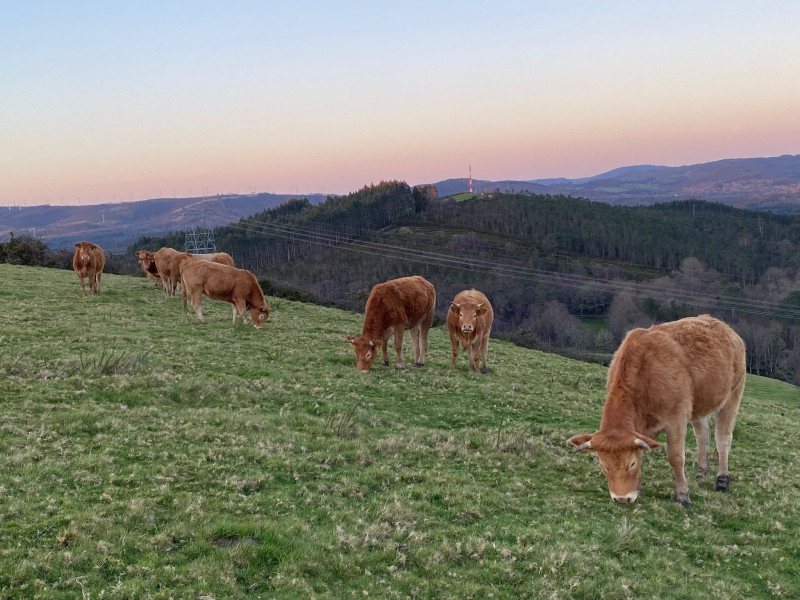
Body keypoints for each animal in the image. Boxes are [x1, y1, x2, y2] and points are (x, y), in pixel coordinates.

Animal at [568, 314, 744, 506]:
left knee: (723, 439)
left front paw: (683, 494)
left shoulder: (676, 418)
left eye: (631, 464)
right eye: (603, 465)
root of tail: (724, 327)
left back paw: (722, 480)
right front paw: (638, 486)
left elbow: (675, 457)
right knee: (703, 434)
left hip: (733, 394)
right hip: (699, 404)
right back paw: (702, 472)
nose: (621, 498)